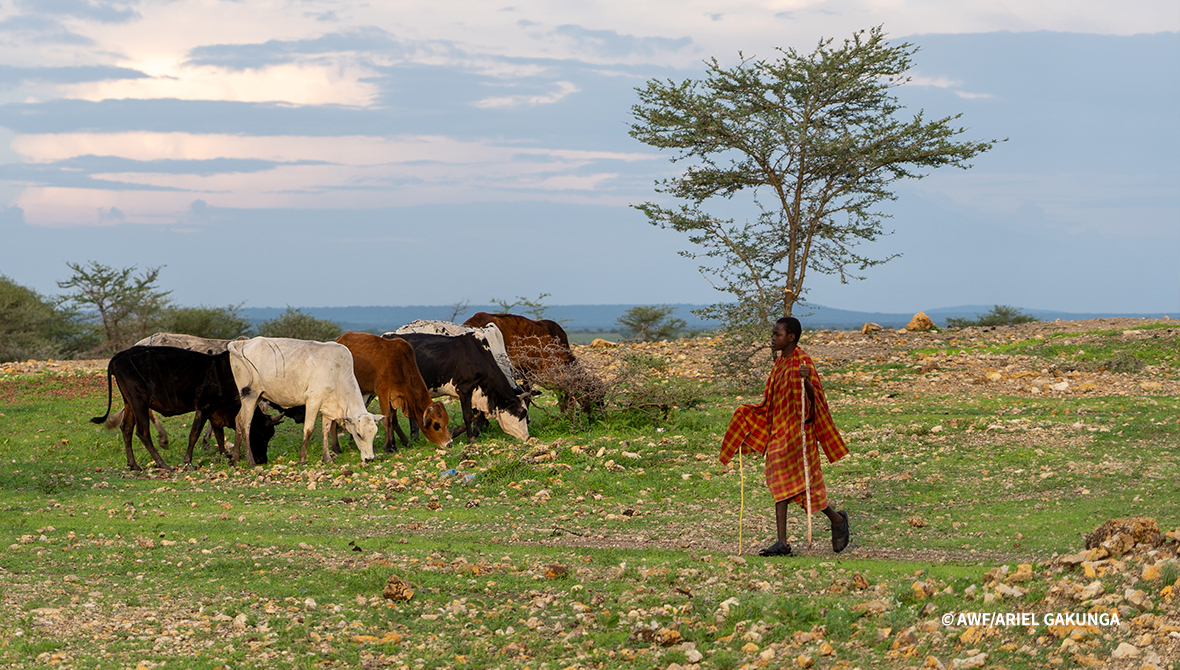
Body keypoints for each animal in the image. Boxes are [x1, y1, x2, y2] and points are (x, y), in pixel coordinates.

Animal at [226, 335, 382, 464]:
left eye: (374, 433)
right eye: (359, 434)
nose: (369, 459)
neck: (338, 373)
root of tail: (243, 343)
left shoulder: (327, 407)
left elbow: (325, 431)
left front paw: (327, 458)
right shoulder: (313, 400)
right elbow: (308, 429)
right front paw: (302, 458)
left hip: (257, 397)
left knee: (238, 421)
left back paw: (235, 459)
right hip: (250, 396)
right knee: (245, 424)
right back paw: (250, 461)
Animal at [379, 330, 533, 445]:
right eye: (522, 413)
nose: (527, 437)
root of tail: (384, 337)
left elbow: (476, 414)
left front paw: (453, 433)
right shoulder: (464, 389)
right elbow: (468, 415)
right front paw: (470, 438)